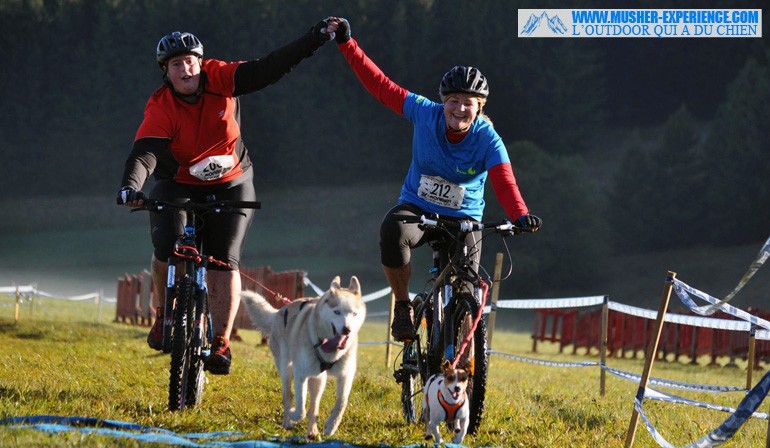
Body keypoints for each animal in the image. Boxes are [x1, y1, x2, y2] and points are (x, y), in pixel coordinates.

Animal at [242, 274, 364, 440]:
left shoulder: (346, 375)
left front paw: (331, 425)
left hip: (318, 380)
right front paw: (294, 415)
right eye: (337, 312)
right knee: (288, 396)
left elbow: (342, 402)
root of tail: (279, 311)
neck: (327, 346)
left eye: (354, 314)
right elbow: (300, 408)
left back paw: (312, 432)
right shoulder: (300, 373)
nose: (347, 330)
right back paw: (288, 421)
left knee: (314, 407)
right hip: (286, 368)